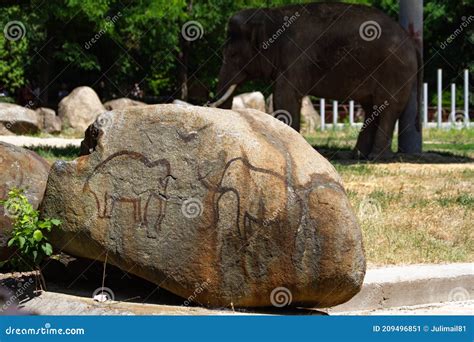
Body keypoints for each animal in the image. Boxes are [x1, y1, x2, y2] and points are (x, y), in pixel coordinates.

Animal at [211, 2, 422, 159]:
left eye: (232, 55)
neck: (272, 17)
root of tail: (412, 43)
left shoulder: (295, 57)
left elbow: (284, 96)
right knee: (371, 108)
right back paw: (358, 156)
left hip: (395, 72)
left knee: (387, 108)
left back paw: (375, 157)